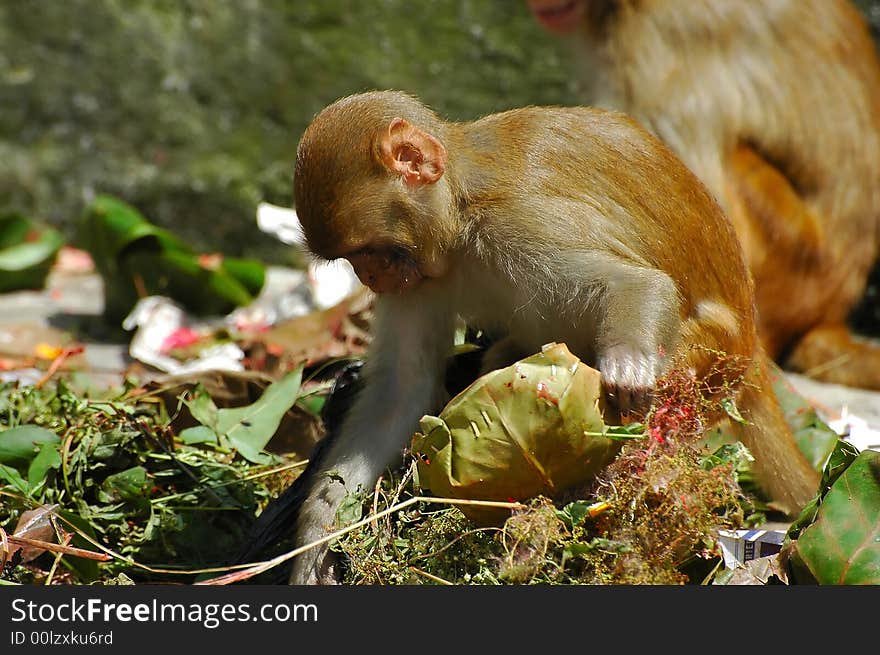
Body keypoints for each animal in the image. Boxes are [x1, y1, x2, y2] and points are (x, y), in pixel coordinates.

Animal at [288, 89, 820, 588]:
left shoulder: (522, 223)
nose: (368, 277)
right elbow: (401, 394)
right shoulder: (419, 280)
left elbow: (638, 286)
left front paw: (627, 369)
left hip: (713, 360)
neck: (460, 216)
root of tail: (751, 349)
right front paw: (318, 530)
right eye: (356, 259)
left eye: (369, 252)